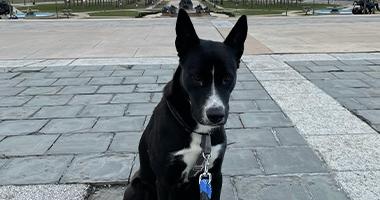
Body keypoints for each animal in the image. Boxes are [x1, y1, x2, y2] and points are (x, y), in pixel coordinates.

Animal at [124, 8, 248, 199]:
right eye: (196, 77)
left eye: (228, 78)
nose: (216, 115)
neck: (199, 132)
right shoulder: (165, 181)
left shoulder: (214, 175)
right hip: (137, 187)